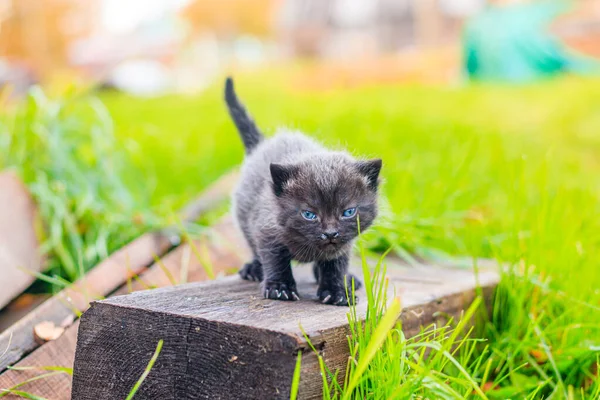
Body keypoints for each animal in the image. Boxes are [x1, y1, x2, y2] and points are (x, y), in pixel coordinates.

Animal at [225, 76, 380, 304]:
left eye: (348, 212)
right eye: (309, 214)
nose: (330, 233)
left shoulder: (344, 243)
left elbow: (336, 264)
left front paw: (337, 291)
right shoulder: (266, 228)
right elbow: (275, 258)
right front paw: (280, 288)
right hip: (244, 213)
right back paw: (254, 268)